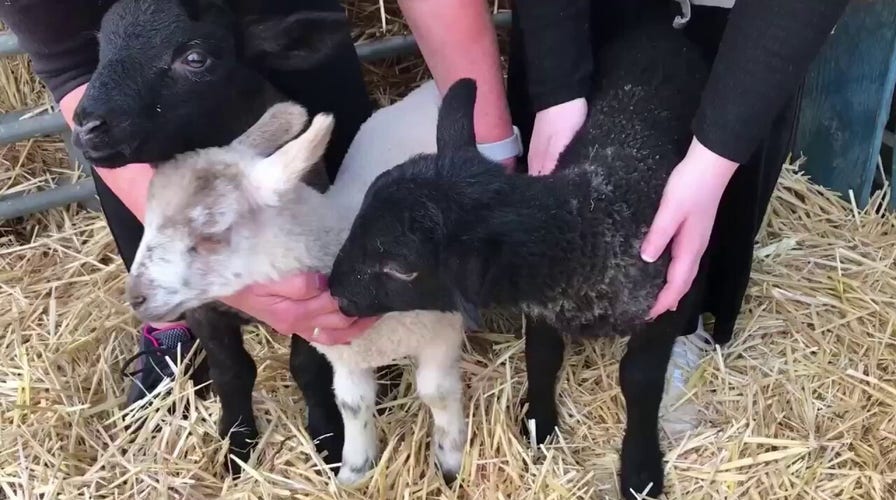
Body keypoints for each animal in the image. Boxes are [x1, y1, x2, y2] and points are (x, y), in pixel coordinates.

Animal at [127, 81, 468, 484]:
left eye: (211, 234)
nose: (135, 297)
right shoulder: (344, 354)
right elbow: (352, 404)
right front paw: (354, 472)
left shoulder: (442, 332)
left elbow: (436, 393)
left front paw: (450, 463)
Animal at [328, 9, 712, 498]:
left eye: (400, 267)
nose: (334, 290)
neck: (588, 223)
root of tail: (664, 29)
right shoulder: (543, 308)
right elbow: (542, 356)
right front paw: (539, 424)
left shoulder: (669, 292)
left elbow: (640, 378)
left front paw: (640, 470)